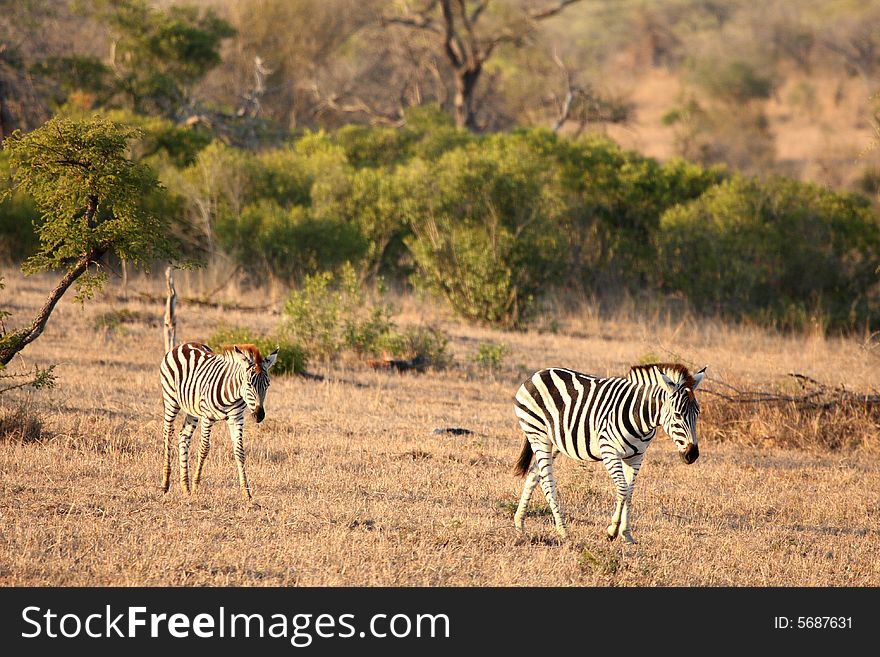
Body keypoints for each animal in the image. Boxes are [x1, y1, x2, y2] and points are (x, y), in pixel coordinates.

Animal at [161, 344, 278, 498]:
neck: (233, 394)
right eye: (248, 384)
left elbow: (240, 451)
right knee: (167, 435)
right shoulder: (207, 417)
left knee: (183, 437)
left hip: (192, 410)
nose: (259, 415)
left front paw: (246, 492)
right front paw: (196, 485)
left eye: (268, 385)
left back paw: (185, 487)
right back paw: (165, 484)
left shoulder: (237, 418)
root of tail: (183, 345)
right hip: (171, 400)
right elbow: (204, 448)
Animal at [512, 362, 704, 540]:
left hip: (554, 442)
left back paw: (519, 523)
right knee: (547, 481)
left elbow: (630, 492)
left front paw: (627, 534)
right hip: (538, 434)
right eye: (677, 415)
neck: (640, 416)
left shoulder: (637, 456)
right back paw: (563, 530)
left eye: (697, 413)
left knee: (534, 474)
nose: (692, 455)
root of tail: (537, 374)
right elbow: (623, 489)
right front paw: (612, 530)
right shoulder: (609, 451)